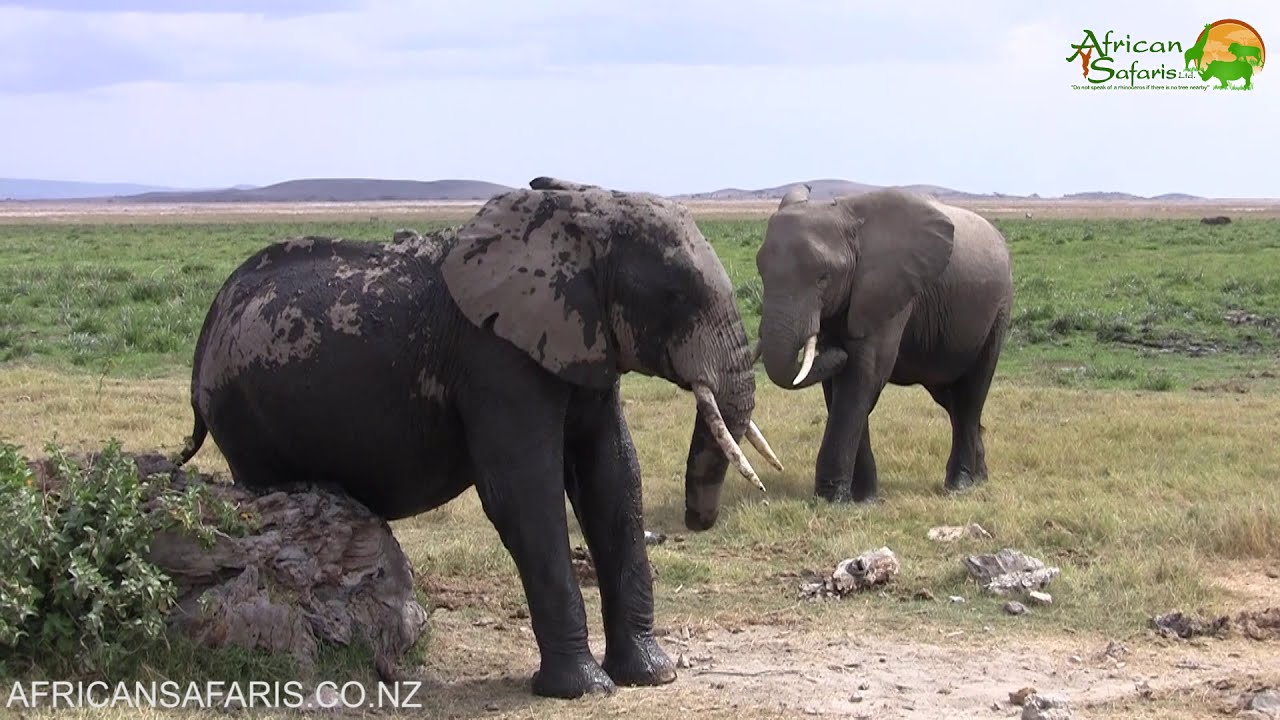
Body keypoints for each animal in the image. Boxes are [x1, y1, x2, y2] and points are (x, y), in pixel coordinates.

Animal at [176, 178, 783, 698]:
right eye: (676, 296)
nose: (696, 521)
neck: (581, 220)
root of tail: (208, 323)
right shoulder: (494, 360)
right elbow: (525, 494)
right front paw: (582, 689)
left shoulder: (584, 343)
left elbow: (612, 477)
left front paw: (652, 676)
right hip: (239, 409)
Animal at [755, 186, 1012, 503]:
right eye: (761, 271)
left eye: (823, 277)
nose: (835, 350)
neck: (847, 215)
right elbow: (840, 388)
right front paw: (863, 499)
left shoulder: (889, 288)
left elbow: (864, 376)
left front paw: (833, 500)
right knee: (950, 398)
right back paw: (980, 478)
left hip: (998, 309)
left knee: (971, 395)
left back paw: (960, 485)